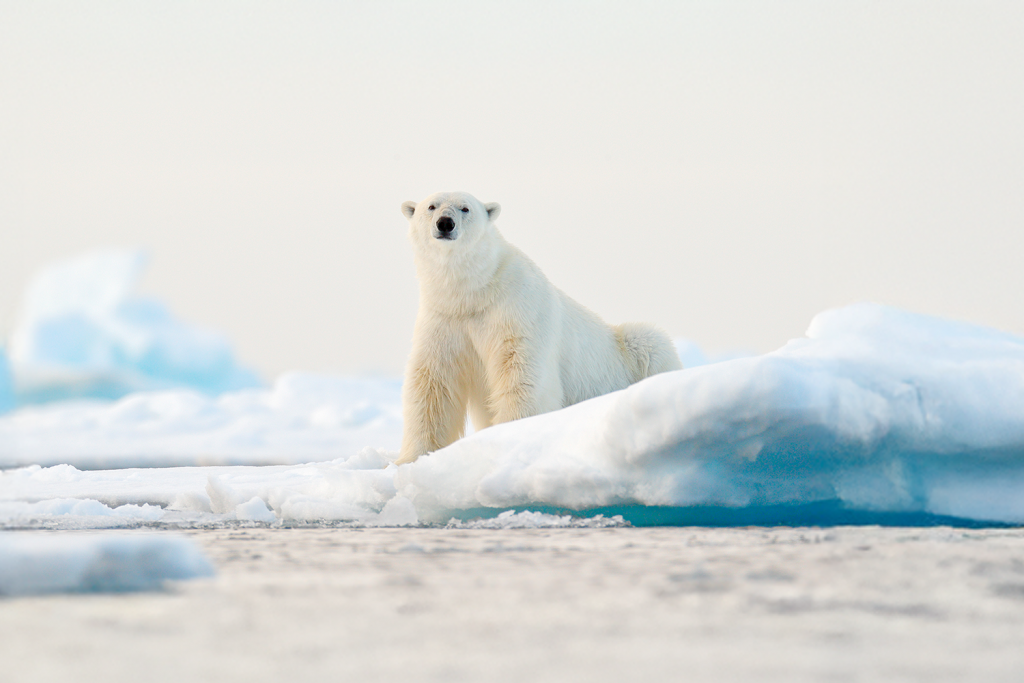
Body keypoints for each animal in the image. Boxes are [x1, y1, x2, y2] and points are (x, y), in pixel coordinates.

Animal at [395, 192, 684, 464]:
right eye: (431, 206)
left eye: (465, 208)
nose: (445, 223)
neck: (475, 292)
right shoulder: (444, 320)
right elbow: (433, 384)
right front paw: (409, 458)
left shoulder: (517, 308)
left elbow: (521, 371)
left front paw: (511, 435)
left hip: (630, 351)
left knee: (650, 342)